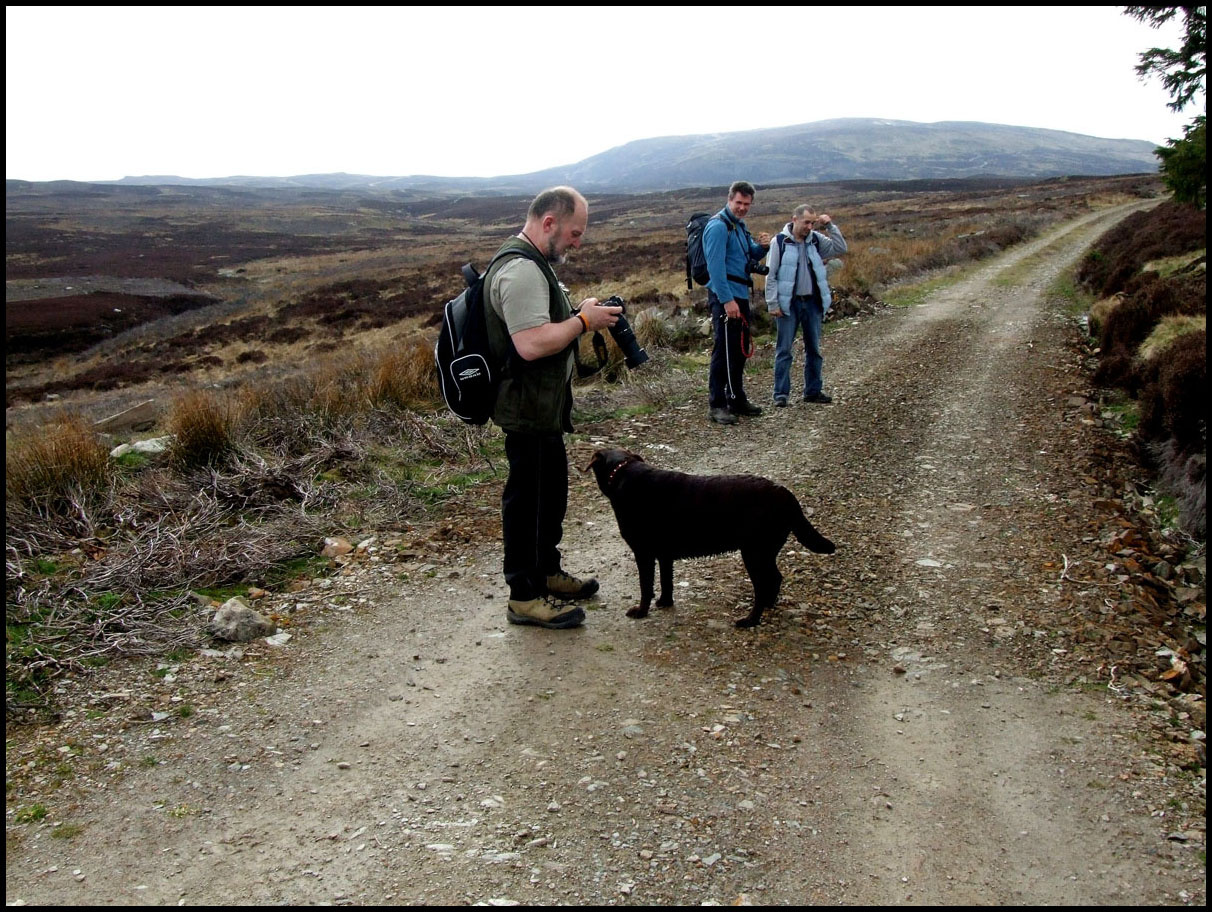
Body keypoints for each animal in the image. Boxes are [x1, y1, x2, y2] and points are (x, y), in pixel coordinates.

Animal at [584, 446, 833, 625]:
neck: (622, 473)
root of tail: (785, 493)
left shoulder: (643, 553)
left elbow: (646, 586)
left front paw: (641, 611)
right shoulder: (664, 555)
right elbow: (666, 581)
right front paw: (665, 602)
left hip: (754, 553)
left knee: (764, 584)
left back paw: (750, 620)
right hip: (765, 552)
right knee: (775, 578)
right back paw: (769, 605)